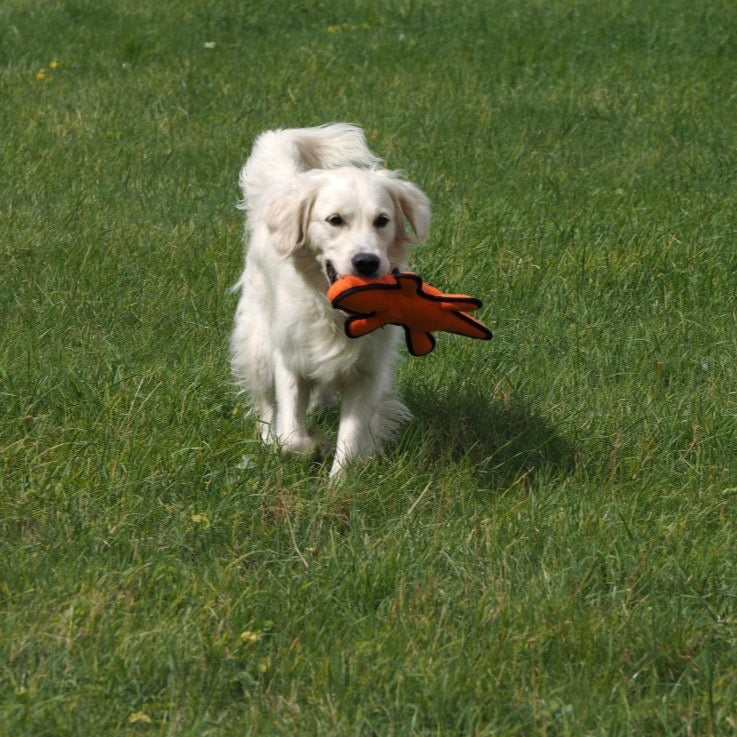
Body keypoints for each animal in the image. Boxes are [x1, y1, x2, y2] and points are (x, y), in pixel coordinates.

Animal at [229, 122, 426, 478]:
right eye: (335, 220)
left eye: (382, 220)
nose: (366, 262)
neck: (335, 314)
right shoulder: (290, 359)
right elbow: (291, 435)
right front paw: (312, 443)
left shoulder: (366, 372)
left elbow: (351, 437)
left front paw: (340, 483)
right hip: (258, 343)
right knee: (265, 405)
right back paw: (267, 439)